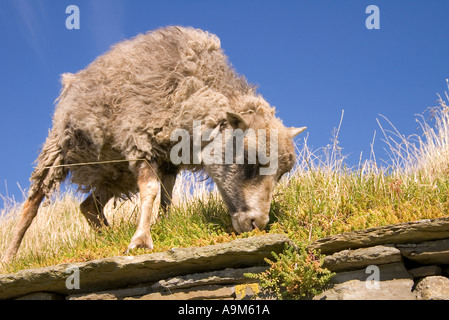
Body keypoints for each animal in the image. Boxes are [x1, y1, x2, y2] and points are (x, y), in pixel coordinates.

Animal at [1, 26, 304, 264]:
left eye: (281, 174)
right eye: (249, 160)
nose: (258, 224)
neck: (193, 83)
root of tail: (74, 79)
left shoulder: (170, 156)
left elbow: (167, 196)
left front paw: (165, 225)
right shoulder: (140, 140)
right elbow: (151, 189)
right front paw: (140, 240)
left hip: (113, 172)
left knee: (88, 206)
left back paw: (107, 237)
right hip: (61, 148)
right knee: (33, 201)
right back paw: (11, 255)